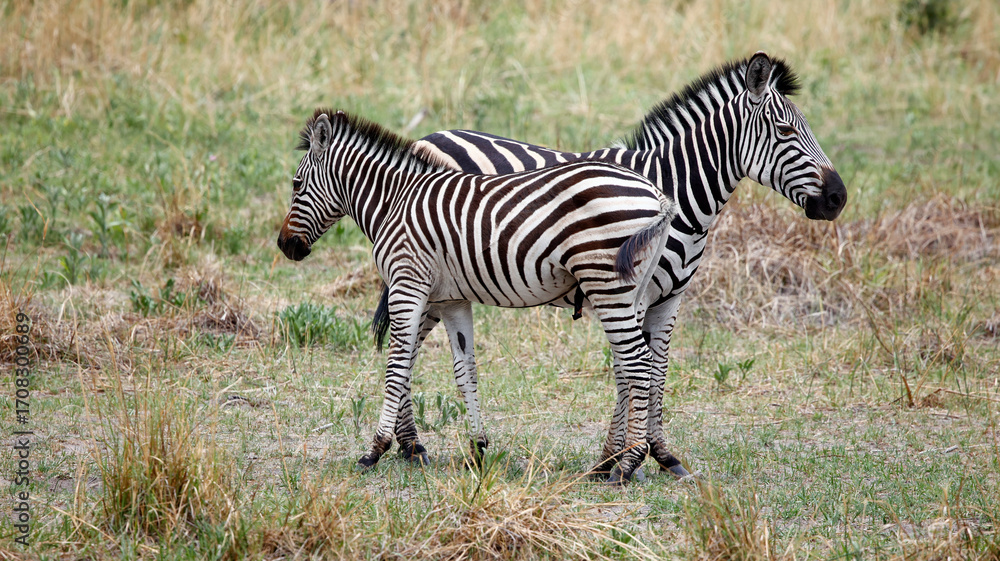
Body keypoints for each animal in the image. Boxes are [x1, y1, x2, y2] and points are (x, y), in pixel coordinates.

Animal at [277, 109, 679, 483]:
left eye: (296, 184)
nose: (284, 246)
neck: (395, 200)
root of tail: (656, 194)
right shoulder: (450, 299)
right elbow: (464, 370)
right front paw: (477, 449)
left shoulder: (407, 282)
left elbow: (397, 366)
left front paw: (374, 450)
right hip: (638, 291)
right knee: (634, 365)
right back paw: (620, 460)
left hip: (606, 283)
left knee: (638, 363)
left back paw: (627, 464)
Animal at [389, 51, 848, 479]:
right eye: (786, 131)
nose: (838, 198)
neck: (673, 193)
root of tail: (431, 135)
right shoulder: (632, 294)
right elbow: (628, 371)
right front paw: (616, 459)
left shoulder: (669, 300)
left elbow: (657, 369)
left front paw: (657, 454)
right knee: (407, 347)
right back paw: (411, 446)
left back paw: (408, 445)